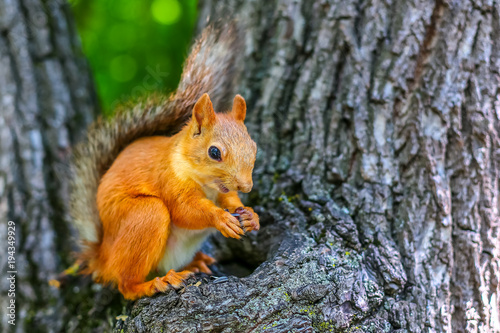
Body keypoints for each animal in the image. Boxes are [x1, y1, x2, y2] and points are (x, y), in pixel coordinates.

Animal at [67, 23, 260, 298]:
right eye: (214, 152)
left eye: (254, 147)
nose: (246, 186)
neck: (206, 184)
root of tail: (101, 257)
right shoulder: (169, 179)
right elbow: (185, 210)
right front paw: (220, 218)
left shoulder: (221, 191)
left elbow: (230, 199)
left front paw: (250, 215)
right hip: (145, 216)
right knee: (126, 284)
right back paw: (155, 283)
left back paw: (195, 263)